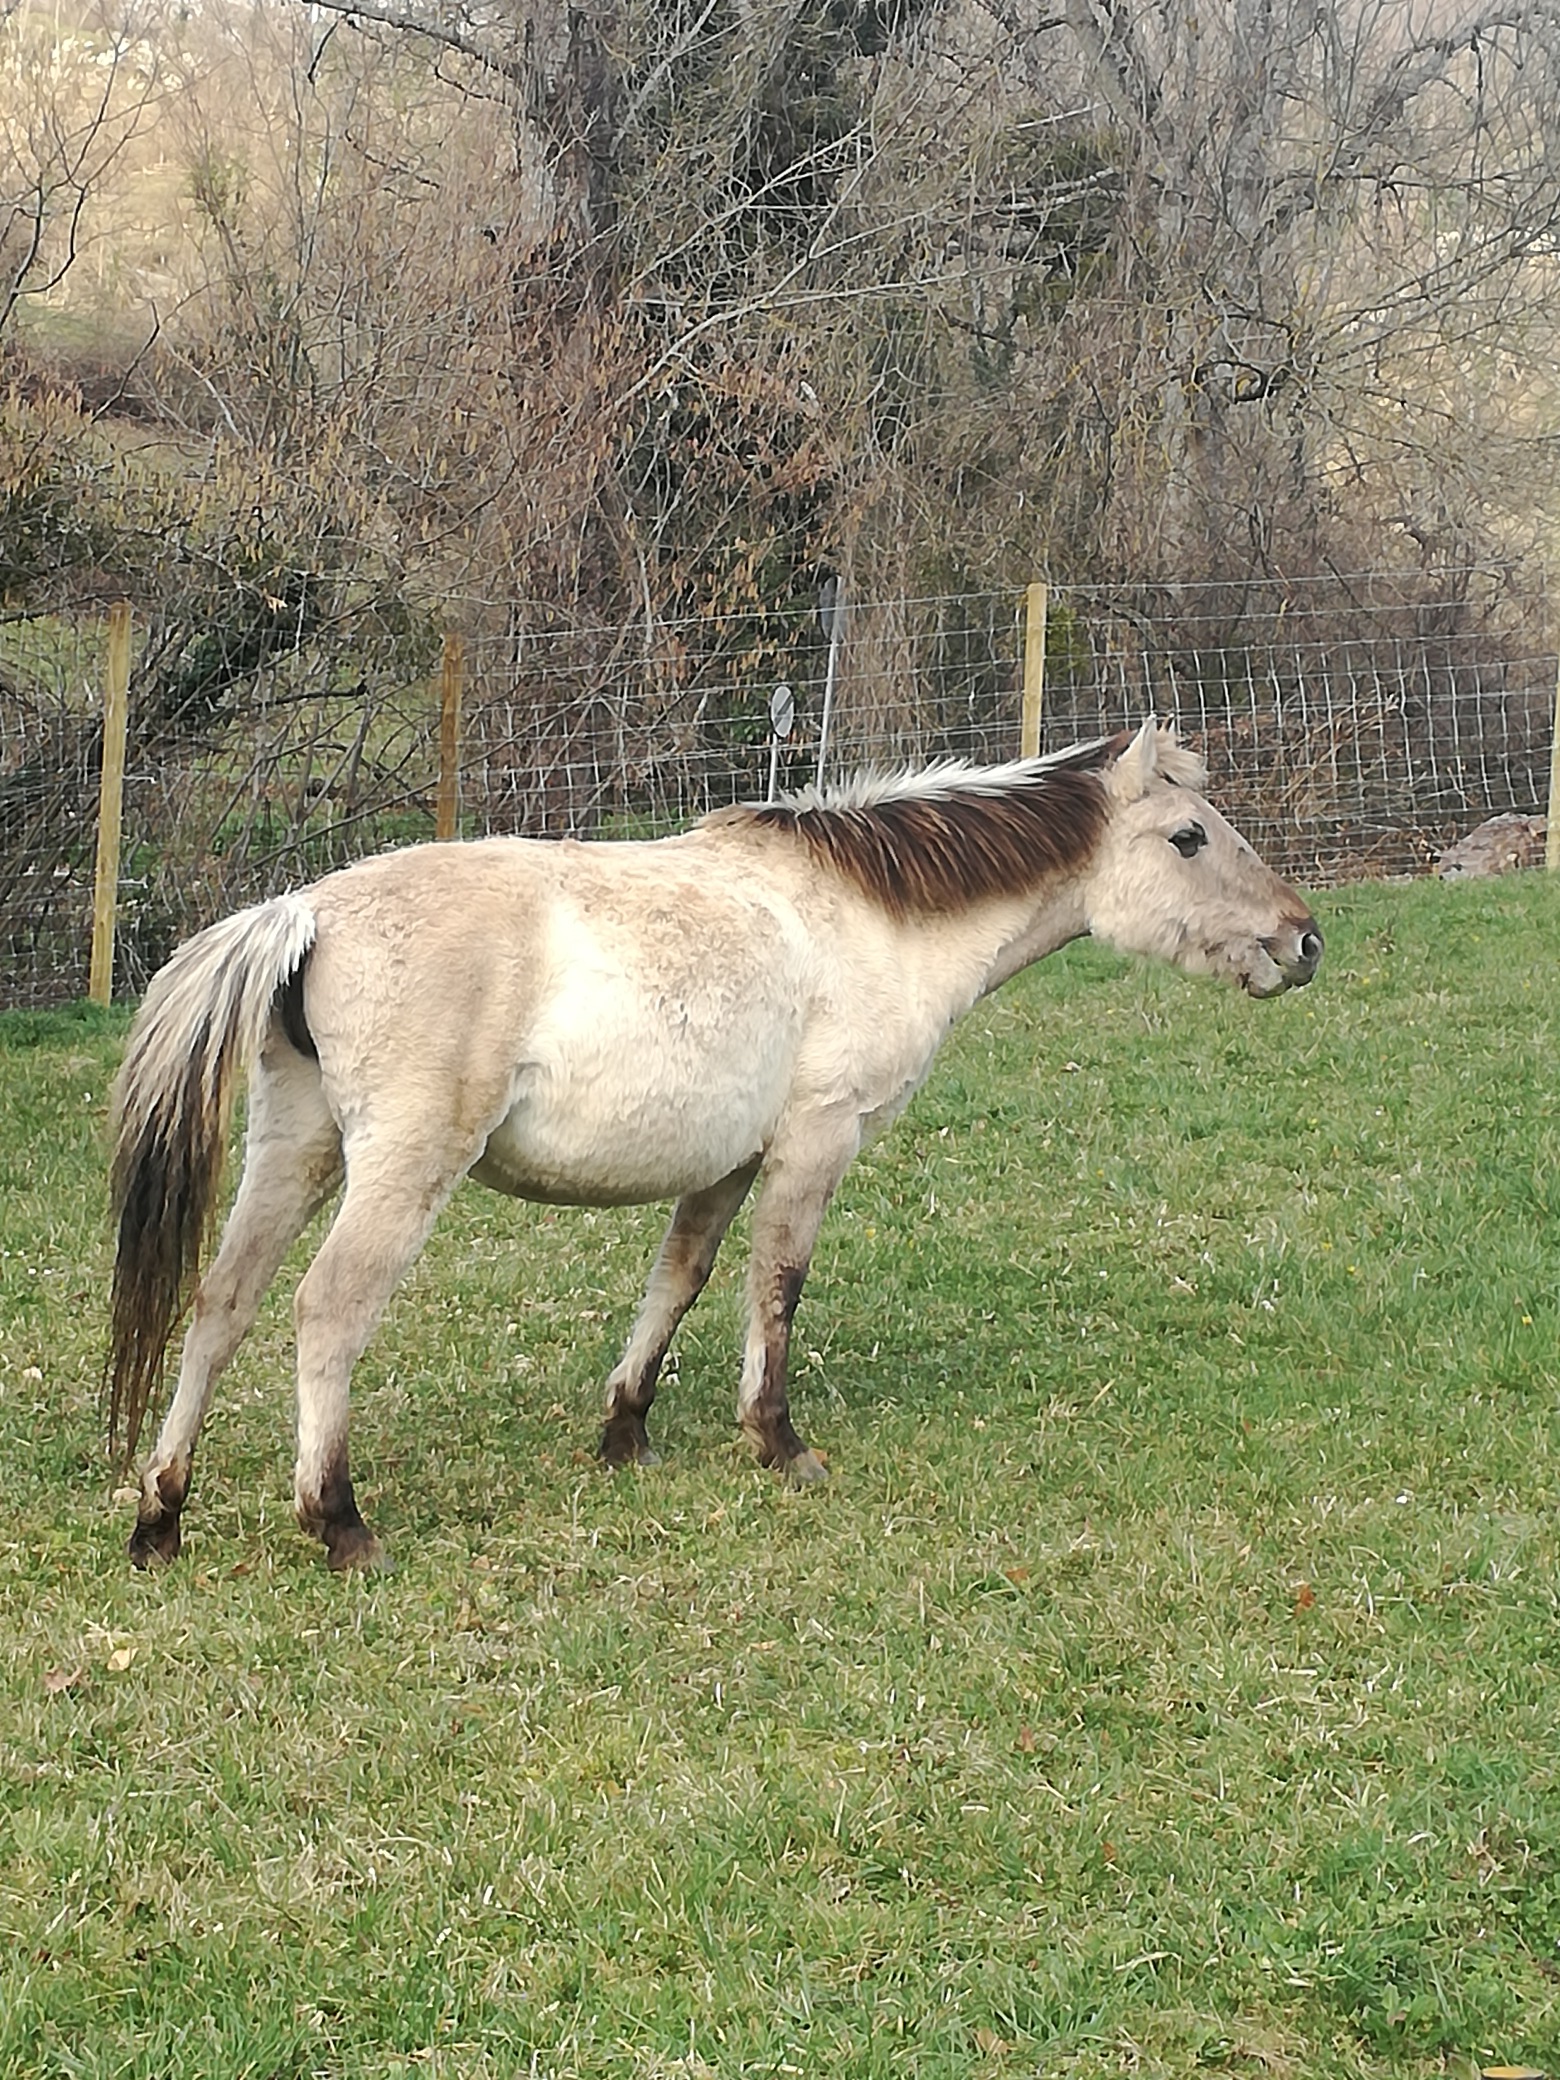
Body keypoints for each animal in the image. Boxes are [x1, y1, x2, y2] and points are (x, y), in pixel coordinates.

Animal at [106, 720, 1322, 1571]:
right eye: (1189, 838)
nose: (1302, 941)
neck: (871, 916)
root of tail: (307, 911)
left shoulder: (728, 1165)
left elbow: (678, 1282)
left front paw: (626, 1432)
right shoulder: (814, 1145)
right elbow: (775, 1289)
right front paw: (778, 1444)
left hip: (295, 1150)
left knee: (221, 1305)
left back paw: (162, 1516)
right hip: (399, 1172)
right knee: (327, 1312)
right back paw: (339, 1521)